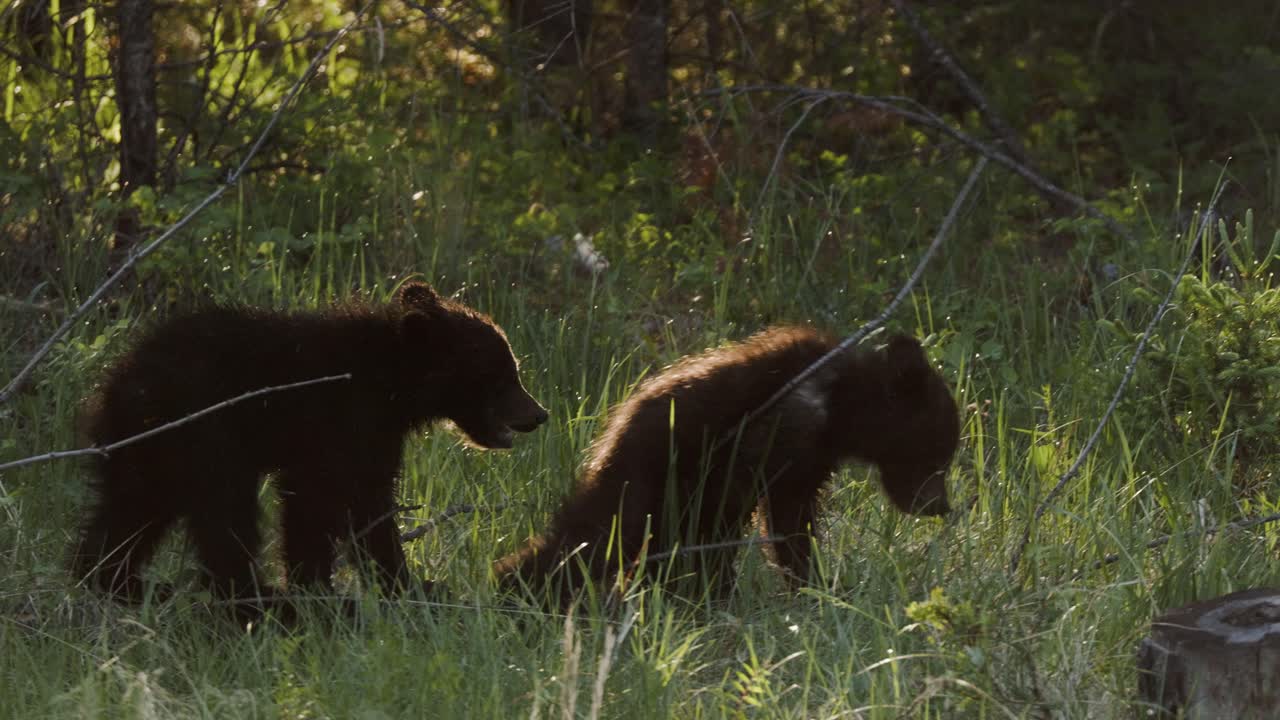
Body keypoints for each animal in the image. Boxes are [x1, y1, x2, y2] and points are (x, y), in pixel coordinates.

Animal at [71, 280, 548, 609]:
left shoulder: (375, 434)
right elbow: (315, 499)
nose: (539, 413)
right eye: (504, 375)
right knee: (223, 507)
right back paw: (250, 594)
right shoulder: (333, 418)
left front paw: (407, 582)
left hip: (146, 448)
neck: (391, 385)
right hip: (202, 431)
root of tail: (115, 383)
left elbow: (371, 502)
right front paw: (315, 585)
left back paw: (114, 578)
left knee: (130, 509)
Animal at [494, 326, 958, 605]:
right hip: (645, 472)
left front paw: (816, 585)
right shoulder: (773, 431)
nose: (940, 505)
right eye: (937, 454)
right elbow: (743, 515)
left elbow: (791, 520)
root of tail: (613, 429)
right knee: (599, 534)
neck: (843, 410)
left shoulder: (808, 463)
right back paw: (512, 589)